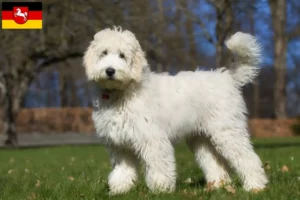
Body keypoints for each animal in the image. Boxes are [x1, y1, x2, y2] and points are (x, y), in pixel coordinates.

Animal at [83, 27, 268, 195]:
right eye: (103, 53)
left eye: (122, 55)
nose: (110, 70)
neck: (122, 93)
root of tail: (227, 77)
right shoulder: (119, 145)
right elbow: (122, 169)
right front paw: (120, 189)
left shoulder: (152, 139)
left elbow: (158, 165)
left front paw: (161, 189)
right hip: (202, 138)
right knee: (215, 162)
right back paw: (216, 186)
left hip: (227, 131)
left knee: (248, 158)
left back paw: (255, 186)